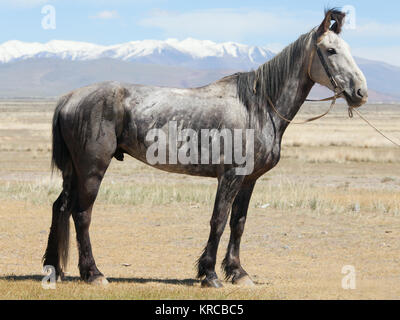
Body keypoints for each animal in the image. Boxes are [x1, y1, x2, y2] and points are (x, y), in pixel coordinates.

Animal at [43, 8, 366, 288]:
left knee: (61, 207)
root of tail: (69, 98)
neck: (257, 107)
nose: (360, 92)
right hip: (92, 169)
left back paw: (54, 269)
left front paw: (238, 272)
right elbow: (219, 221)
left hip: (74, 170)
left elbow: (238, 223)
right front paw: (210, 274)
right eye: (331, 51)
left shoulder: (249, 180)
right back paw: (93, 273)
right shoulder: (230, 176)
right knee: (81, 214)